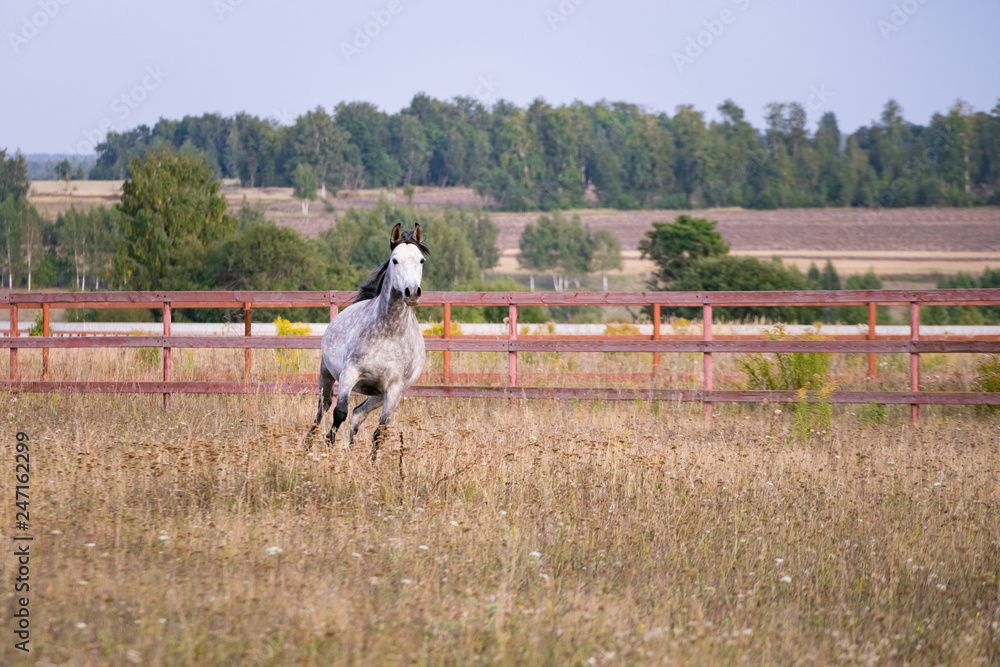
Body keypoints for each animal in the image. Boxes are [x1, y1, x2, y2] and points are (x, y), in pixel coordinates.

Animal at [308, 223, 428, 460]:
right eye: (395, 260)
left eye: (421, 260)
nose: (411, 292)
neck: (389, 333)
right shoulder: (350, 374)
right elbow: (339, 413)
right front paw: (329, 447)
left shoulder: (393, 390)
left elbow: (380, 432)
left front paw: (371, 464)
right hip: (326, 375)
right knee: (323, 408)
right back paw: (308, 444)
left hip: (378, 396)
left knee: (358, 414)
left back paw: (351, 451)